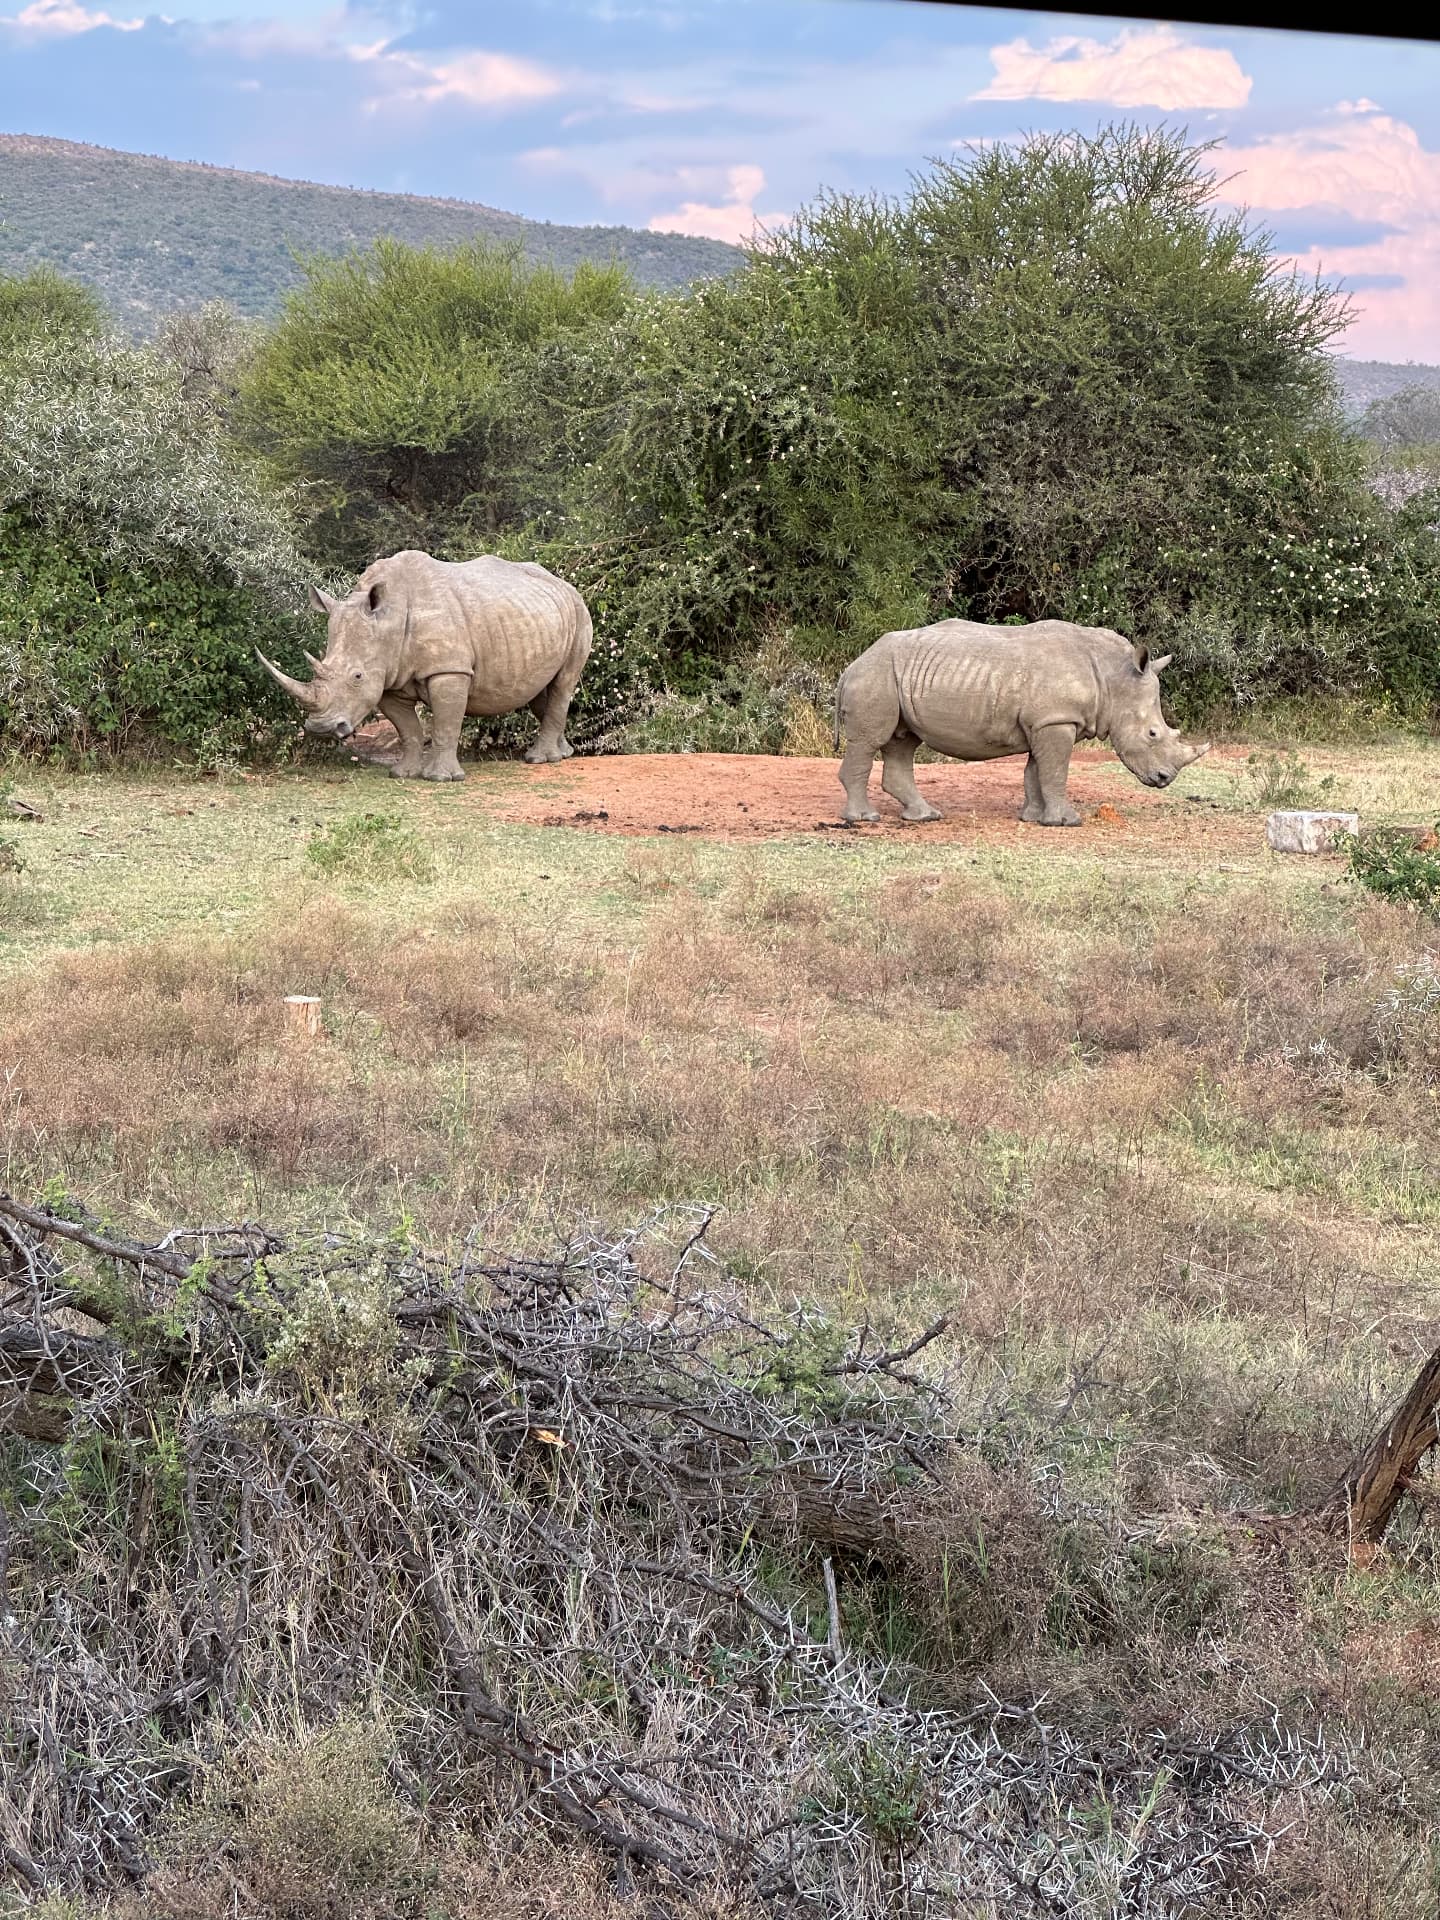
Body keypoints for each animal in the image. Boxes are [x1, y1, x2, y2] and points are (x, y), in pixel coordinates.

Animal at [259, 549, 593, 780]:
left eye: (357, 676)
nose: (321, 729)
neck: (389, 618)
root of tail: (564, 584)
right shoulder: (388, 679)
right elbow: (408, 729)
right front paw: (402, 774)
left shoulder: (449, 668)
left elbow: (446, 723)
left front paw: (440, 778)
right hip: (540, 618)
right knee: (540, 689)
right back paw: (564, 754)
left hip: (579, 610)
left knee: (563, 683)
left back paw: (540, 759)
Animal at [834, 618, 1210, 826]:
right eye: (1152, 733)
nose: (1164, 779)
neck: (1113, 677)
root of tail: (851, 665)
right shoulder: (1056, 720)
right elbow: (1055, 771)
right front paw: (1067, 822)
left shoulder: (1044, 721)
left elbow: (1036, 771)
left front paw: (1033, 817)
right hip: (876, 676)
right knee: (869, 741)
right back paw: (864, 819)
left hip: (895, 677)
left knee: (903, 741)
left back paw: (926, 816)